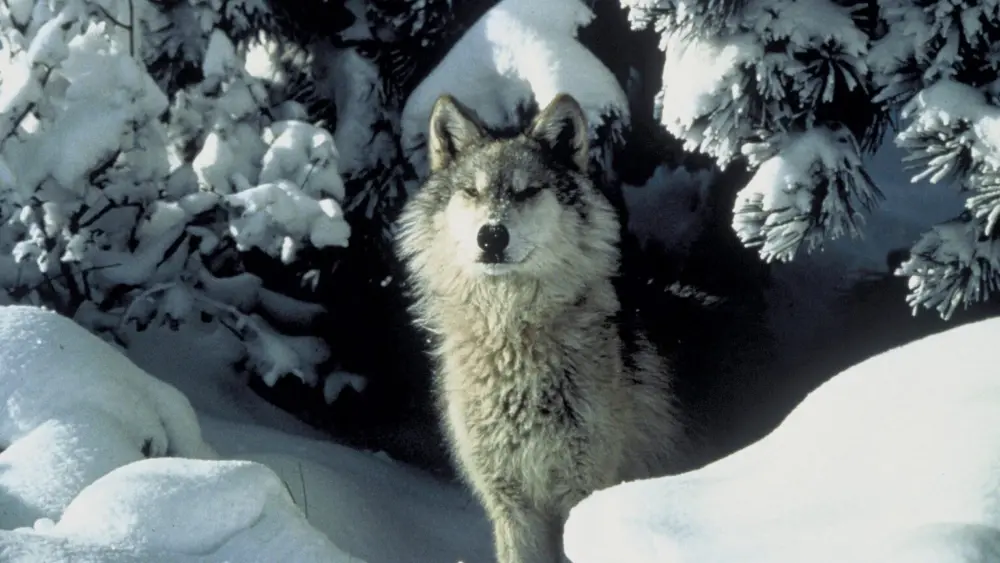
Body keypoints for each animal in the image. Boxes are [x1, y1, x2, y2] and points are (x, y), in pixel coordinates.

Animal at [395, 93, 690, 563]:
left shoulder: (582, 493)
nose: (491, 236)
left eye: (527, 191)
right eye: (472, 191)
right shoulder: (512, 507)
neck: (511, 339)